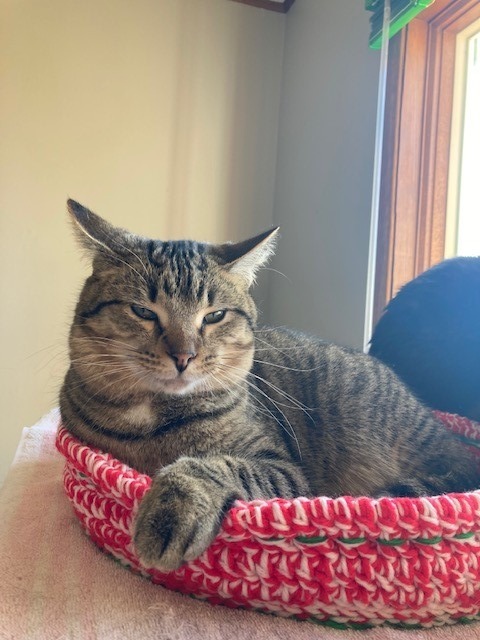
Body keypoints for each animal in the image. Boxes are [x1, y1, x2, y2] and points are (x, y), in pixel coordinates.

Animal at [60, 200, 480, 568]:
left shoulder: (282, 467)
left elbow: (212, 465)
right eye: (143, 311)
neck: (152, 416)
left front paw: (174, 507)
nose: (184, 356)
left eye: (214, 316)